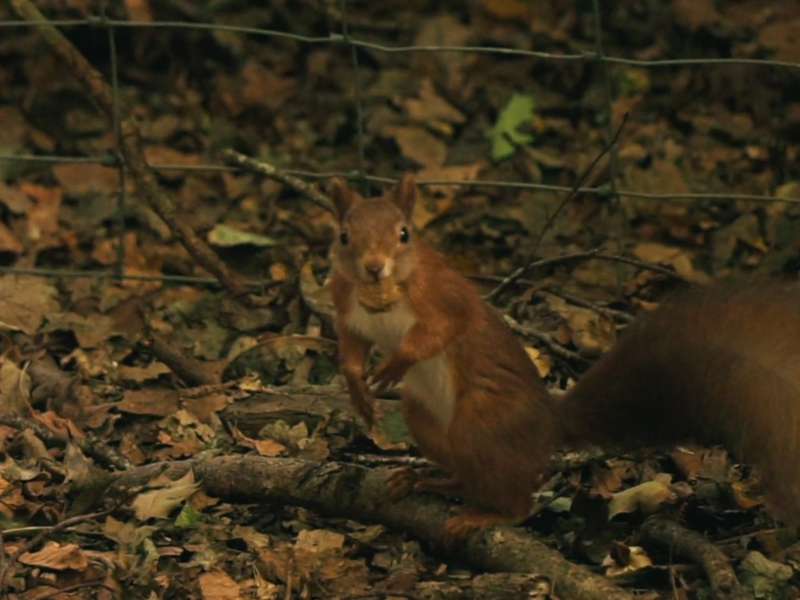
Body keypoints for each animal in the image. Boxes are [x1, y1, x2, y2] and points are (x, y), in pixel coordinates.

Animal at [327, 172, 800, 546]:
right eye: (344, 235)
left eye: (404, 233)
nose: (374, 267)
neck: (383, 297)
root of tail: (546, 423)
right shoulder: (347, 307)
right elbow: (350, 347)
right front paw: (359, 391)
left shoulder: (443, 299)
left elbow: (439, 333)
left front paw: (392, 365)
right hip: (426, 420)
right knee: (466, 474)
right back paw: (425, 479)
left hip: (480, 421)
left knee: (516, 499)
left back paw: (485, 513)